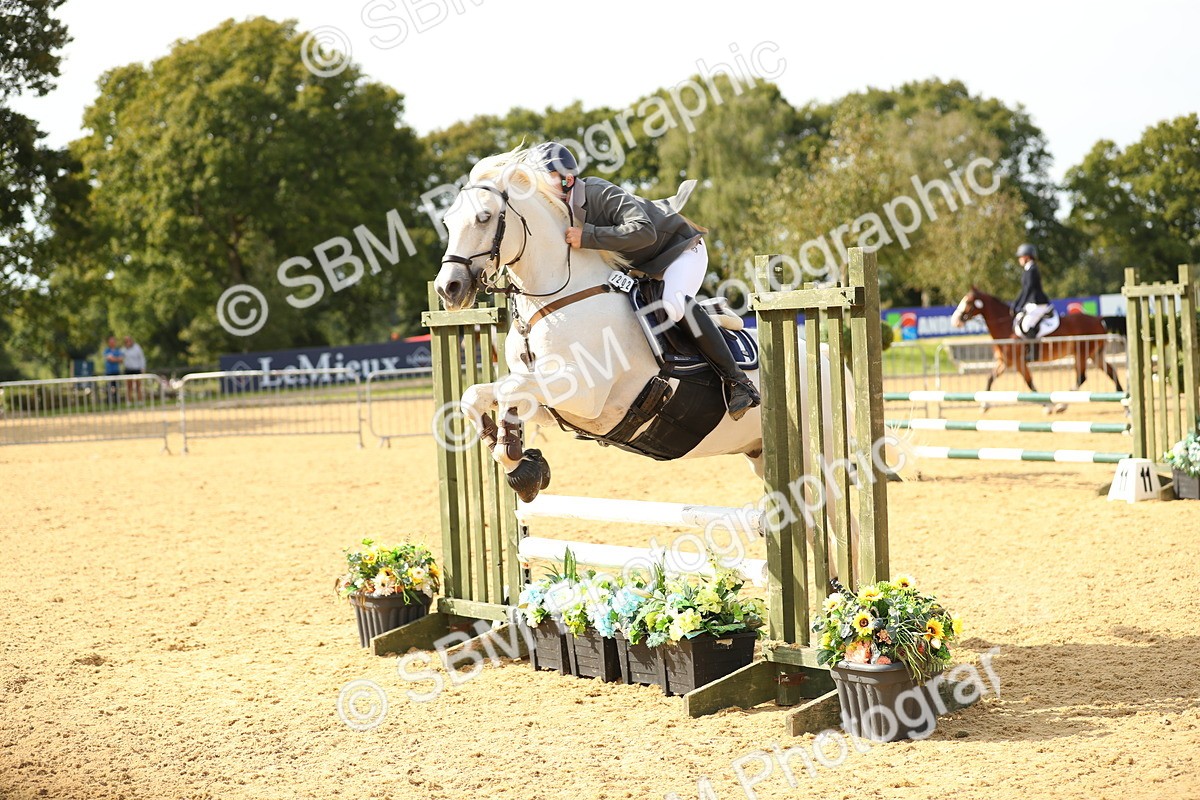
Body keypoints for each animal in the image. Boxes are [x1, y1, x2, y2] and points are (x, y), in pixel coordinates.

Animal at [432, 147, 850, 509]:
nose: (448, 289)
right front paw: (523, 465)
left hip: (820, 459)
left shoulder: (586, 393)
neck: (559, 298)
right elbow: (478, 395)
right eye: (448, 221)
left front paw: (520, 462)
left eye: (485, 217)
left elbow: (508, 390)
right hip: (762, 455)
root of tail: (825, 356)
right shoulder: (554, 405)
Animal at [950, 287, 1123, 410]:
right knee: (1111, 372)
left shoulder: (1019, 362)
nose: (955, 321)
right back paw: (1123, 400)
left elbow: (1030, 384)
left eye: (968, 302)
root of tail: (1099, 319)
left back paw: (1062, 404)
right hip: (1095, 354)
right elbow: (989, 378)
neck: (1005, 327)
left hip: (1081, 353)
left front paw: (1048, 405)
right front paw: (984, 404)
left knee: (1081, 378)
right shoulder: (1005, 362)